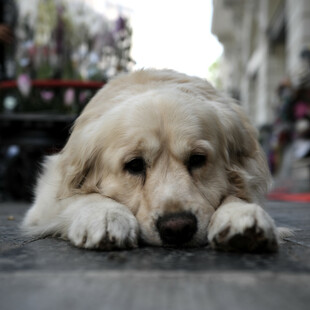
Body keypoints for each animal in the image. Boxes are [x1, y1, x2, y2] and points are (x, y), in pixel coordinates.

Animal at [21, 69, 284, 252]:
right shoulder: (49, 195)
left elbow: (237, 195)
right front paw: (105, 216)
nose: (177, 227)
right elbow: (82, 197)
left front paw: (240, 215)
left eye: (197, 159)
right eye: (135, 165)